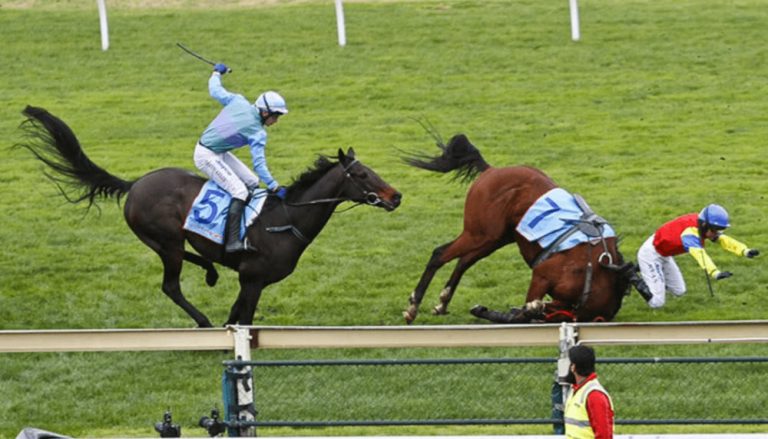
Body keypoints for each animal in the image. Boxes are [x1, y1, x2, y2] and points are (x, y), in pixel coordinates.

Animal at [18, 105, 402, 326]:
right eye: (362, 175)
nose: (395, 196)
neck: (284, 220)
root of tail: (135, 184)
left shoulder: (251, 282)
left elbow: (236, 318)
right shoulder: (252, 280)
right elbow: (243, 321)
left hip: (164, 241)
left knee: (190, 260)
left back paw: (211, 272)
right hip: (166, 240)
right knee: (171, 285)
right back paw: (202, 321)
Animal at [402, 132, 636, 324]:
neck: (594, 268)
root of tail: (491, 170)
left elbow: (525, 312)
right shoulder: (542, 274)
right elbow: (525, 310)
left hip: (492, 239)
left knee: (463, 261)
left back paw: (442, 302)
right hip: (478, 233)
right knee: (440, 254)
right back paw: (413, 306)